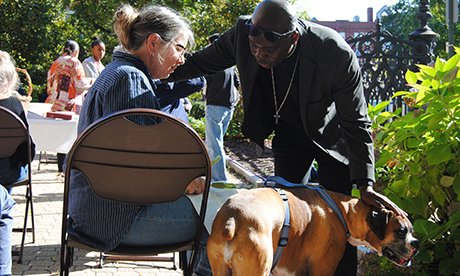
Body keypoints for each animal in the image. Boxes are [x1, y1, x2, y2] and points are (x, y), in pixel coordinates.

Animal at [208, 187, 420, 274]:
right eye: (401, 231)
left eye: (411, 230)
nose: (416, 243)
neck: (344, 211)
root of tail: (233, 218)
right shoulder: (322, 269)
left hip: (220, 269)